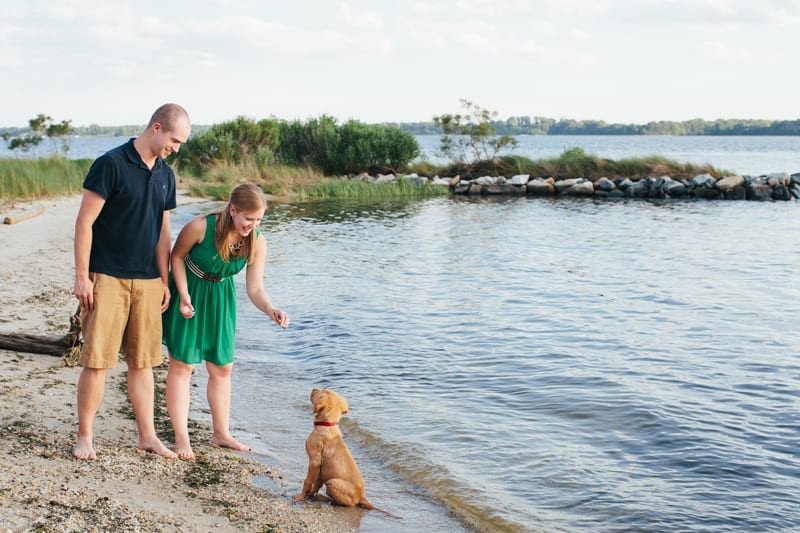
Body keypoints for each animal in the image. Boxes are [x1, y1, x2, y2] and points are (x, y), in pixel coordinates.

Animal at [296, 386, 392, 516]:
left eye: (321, 392)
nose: (314, 388)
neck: (327, 425)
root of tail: (361, 496)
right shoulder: (321, 469)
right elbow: (317, 483)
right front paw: (311, 494)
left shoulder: (314, 461)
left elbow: (308, 481)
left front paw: (300, 497)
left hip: (332, 482)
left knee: (348, 504)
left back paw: (326, 499)